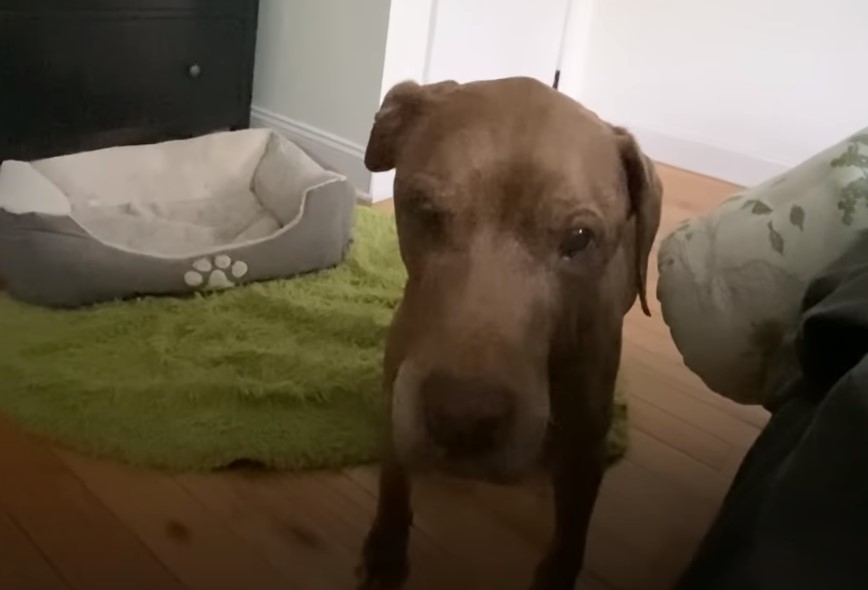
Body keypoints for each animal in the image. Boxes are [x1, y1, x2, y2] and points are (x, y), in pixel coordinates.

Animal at [356, 77, 660, 590]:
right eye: (426, 211)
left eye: (579, 238)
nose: (462, 418)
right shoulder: (394, 398)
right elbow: (394, 481)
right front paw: (386, 551)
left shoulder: (586, 445)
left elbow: (572, 531)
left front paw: (557, 574)